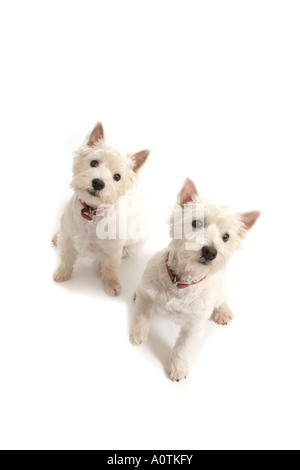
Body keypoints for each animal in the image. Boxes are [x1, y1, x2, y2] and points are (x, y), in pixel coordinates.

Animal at [53, 123, 150, 296]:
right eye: (94, 163)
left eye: (117, 177)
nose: (98, 183)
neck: (91, 211)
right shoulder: (68, 238)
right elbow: (65, 258)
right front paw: (62, 273)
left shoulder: (113, 250)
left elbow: (110, 268)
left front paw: (111, 284)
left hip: (135, 244)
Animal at [129, 178, 260, 380]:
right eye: (196, 223)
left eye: (226, 237)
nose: (210, 252)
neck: (181, 281)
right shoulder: (148, 293)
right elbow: (141, 315)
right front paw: (137, 336)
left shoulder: (195, 324)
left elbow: (183, 346)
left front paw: (178, 368)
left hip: (221, 288)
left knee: (222, 299)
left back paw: (223, 311)